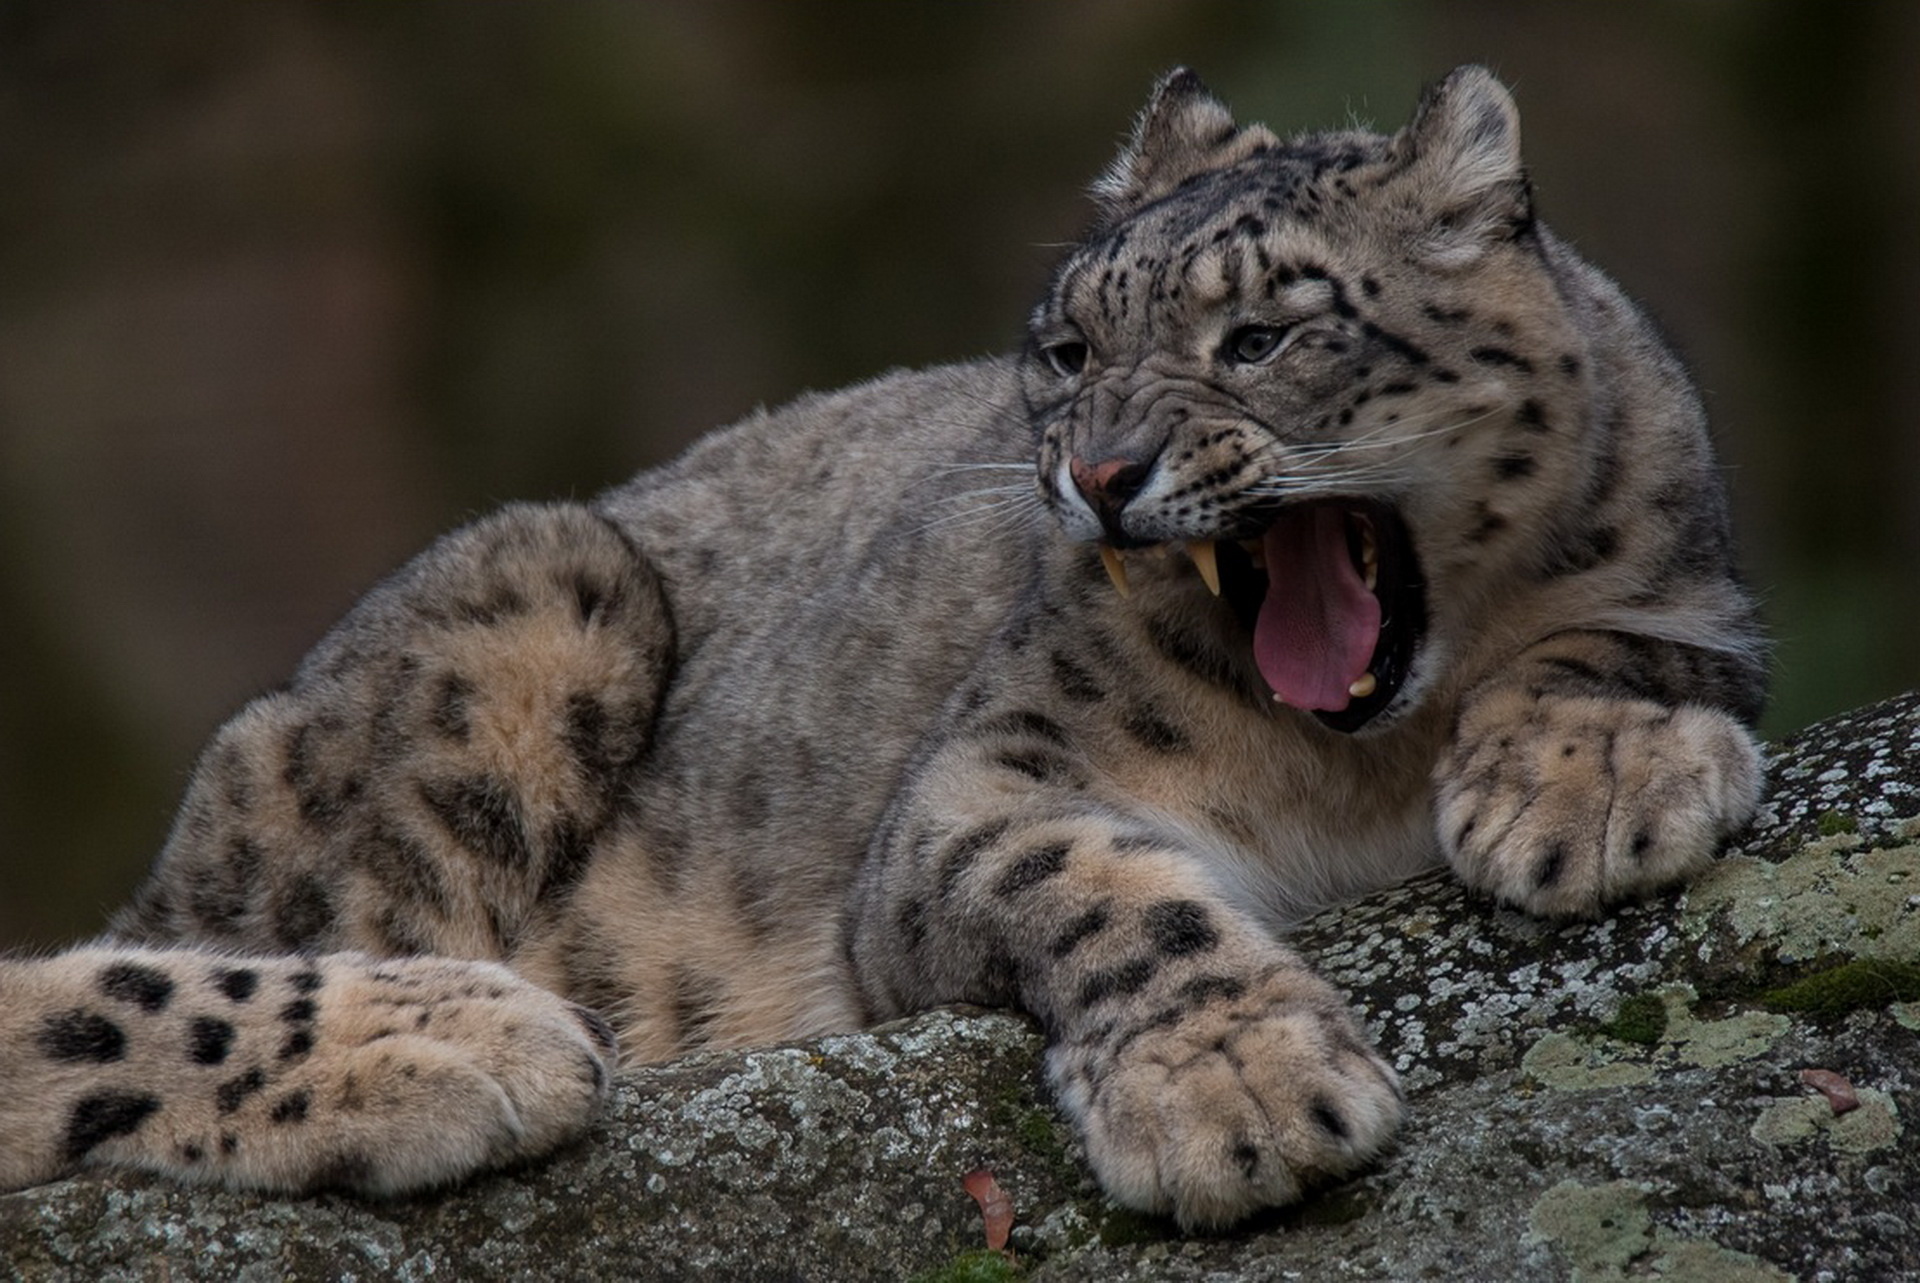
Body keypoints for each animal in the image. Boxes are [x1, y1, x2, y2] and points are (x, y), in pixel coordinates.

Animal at [0, 70, 1766, 1229]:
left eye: (1261, 334)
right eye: (1069, 348)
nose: (1098, 471)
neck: (1359, 759)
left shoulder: (1689, 580)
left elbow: (1635, 644)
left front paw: (1588, 793)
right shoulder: (983, 785)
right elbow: (1097, 890)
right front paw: (1241, 1091)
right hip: (538, 590)